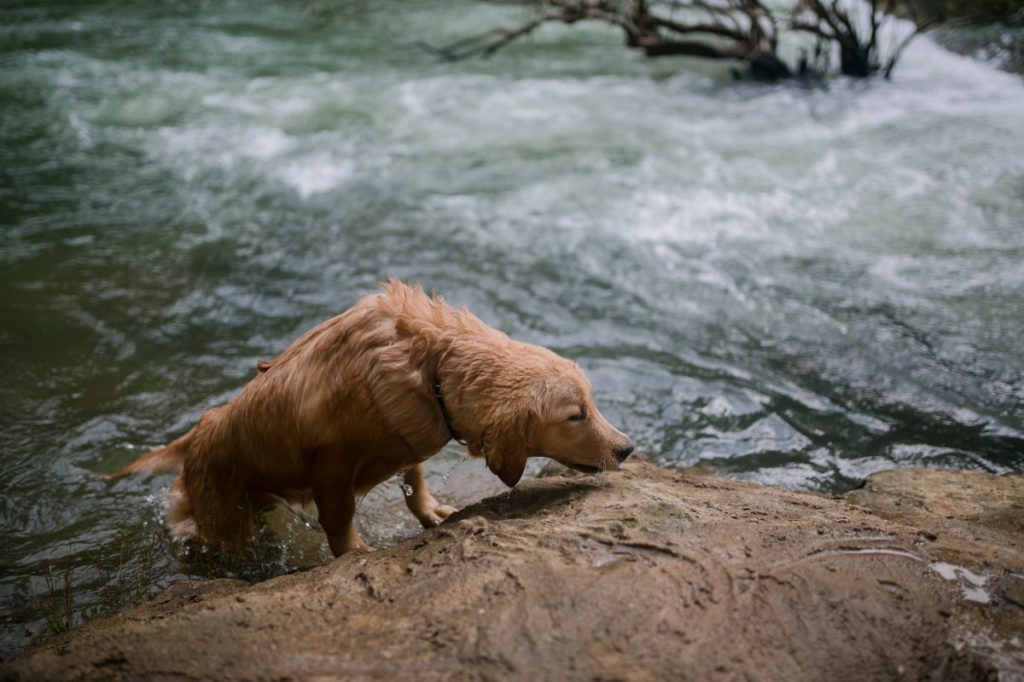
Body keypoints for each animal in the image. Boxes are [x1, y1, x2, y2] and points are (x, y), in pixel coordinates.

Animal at [103, 278, 630, 557]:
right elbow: (339, 522)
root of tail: (197, 434)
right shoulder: (331, 466)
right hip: (226, 517)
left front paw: (431, 510)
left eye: (593, 402)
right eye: (576, 415)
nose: (627, 448)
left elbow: (414, 479)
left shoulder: (408, 437)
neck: (433, 363)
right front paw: (354, 555)